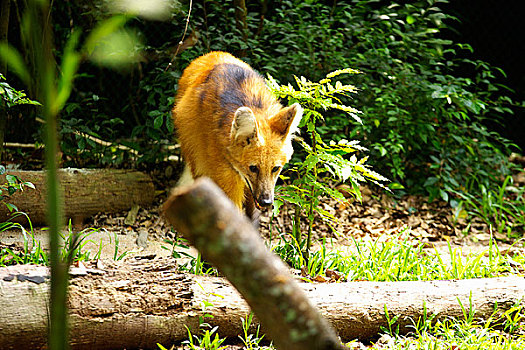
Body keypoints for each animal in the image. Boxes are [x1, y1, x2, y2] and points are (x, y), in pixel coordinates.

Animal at [172, 51, 302, 223]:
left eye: (275, 168)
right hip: (195, 151)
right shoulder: (224, 172)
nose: (266, 202)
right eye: (253, 168)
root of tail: (212, 53)